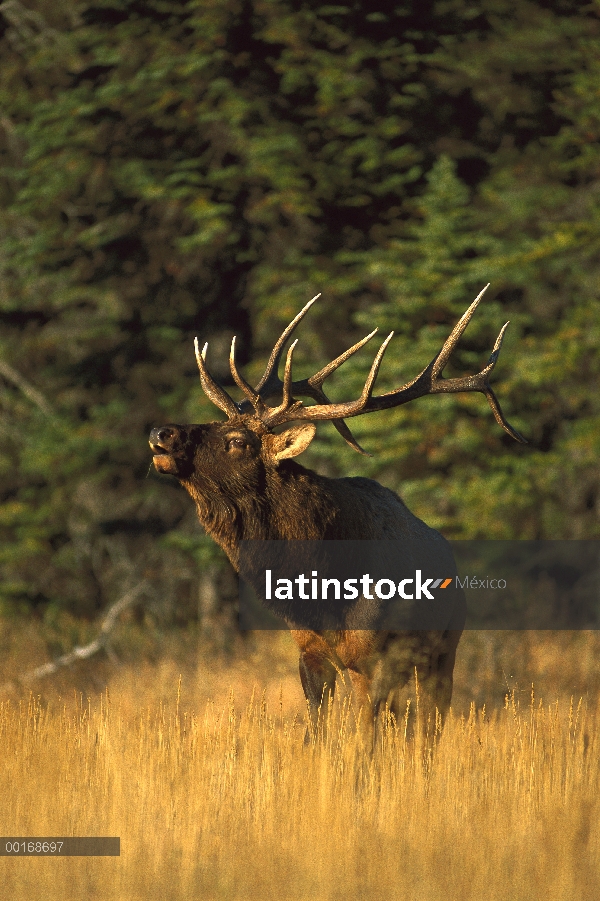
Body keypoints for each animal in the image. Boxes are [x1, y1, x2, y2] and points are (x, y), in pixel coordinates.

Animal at [150, 286, 524, 740]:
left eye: (238, 441)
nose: (161, 432)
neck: (322, 589)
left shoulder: (373, 656)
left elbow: (367, 738)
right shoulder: (310, 651)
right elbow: (318, 732)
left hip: (444, 649)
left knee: (427, 729)